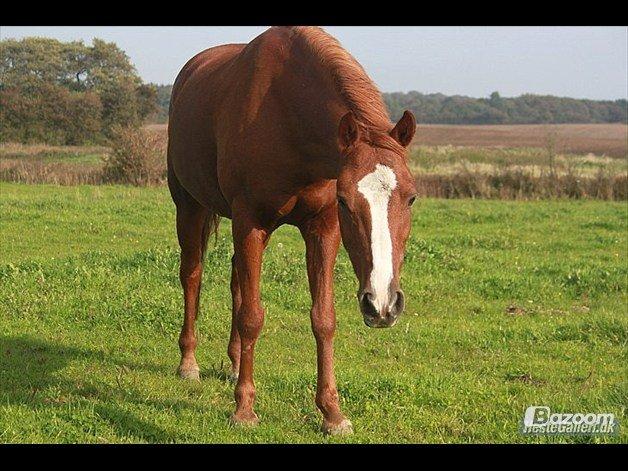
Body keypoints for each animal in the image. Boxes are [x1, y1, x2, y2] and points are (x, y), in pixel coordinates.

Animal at [168, 26, 418, 436]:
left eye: (411, 198)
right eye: (346, 200)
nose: (382, 304)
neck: (287, 116)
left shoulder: (322, 229)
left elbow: (323, 318)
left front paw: (332, 413)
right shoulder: (250, 221)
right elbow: (253, 316)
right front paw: (244, 409)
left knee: (236, 281)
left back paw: (234, 363)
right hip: (188, 205)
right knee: (192, 275)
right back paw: (189, 363)